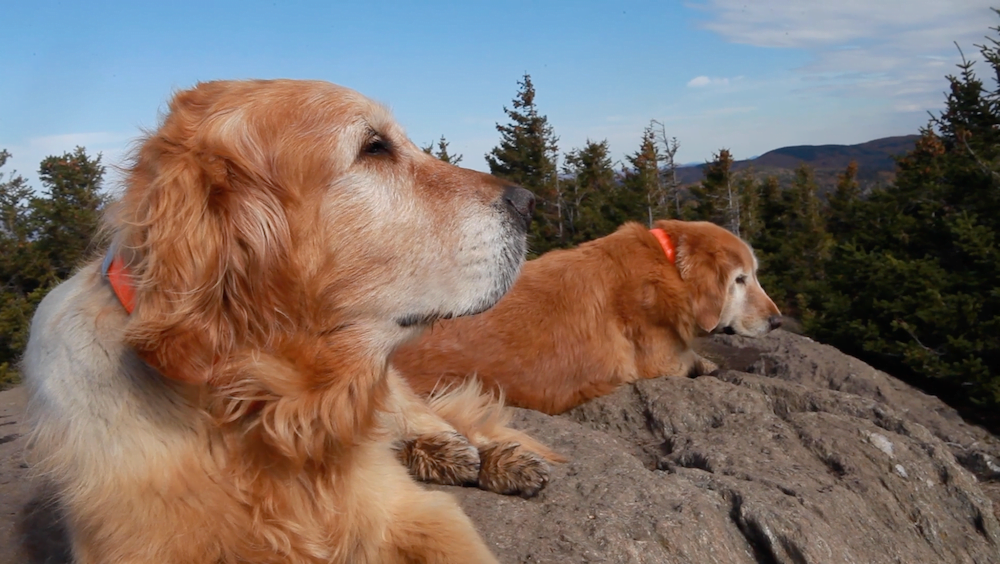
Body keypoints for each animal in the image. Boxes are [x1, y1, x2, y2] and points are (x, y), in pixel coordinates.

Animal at [23, 79, 560, 564]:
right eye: (374, 147)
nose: (529, 201)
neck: (268, 409)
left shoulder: (419, 512)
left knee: (440, 420)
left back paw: (487, 456)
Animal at [394, 220, 784, 414]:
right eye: (740, 280)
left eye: (754, 274)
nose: (778, 321)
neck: (668, 263)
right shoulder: (663, 362)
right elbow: (699, 362)